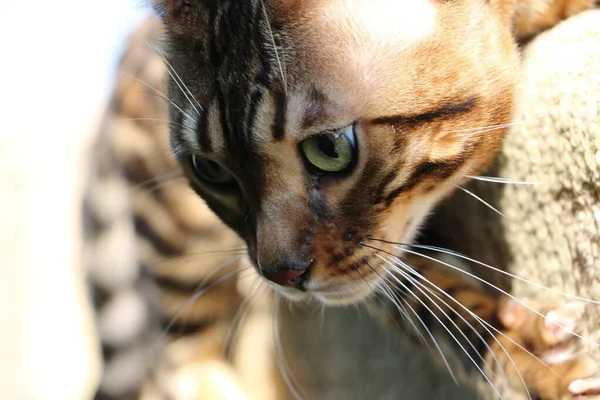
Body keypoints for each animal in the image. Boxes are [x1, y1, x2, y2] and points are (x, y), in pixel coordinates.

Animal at [90, 0, 600, 400]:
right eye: (211, 170)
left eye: (330, 149)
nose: (280, 274)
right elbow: (435, 310)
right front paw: (529, 357)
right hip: (176, 238)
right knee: (177, 357)